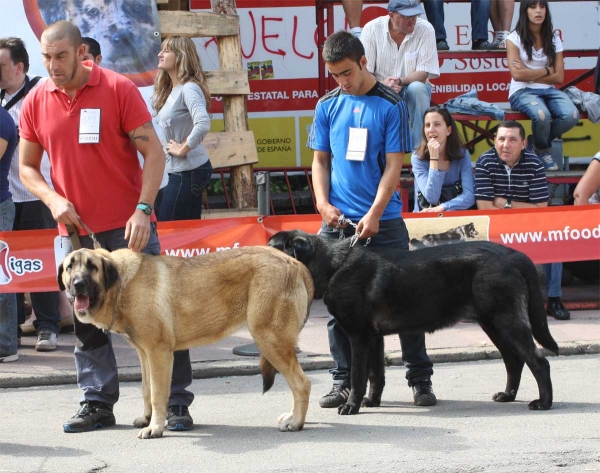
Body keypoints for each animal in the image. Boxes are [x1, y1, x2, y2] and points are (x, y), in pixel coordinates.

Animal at [57, 245, 314, 436]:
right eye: (70, 267)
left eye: (92, 267)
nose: (78, 284)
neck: (121, 285)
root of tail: (295, 264)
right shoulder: (144, 354)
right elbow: (146, 389)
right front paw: (147, 419)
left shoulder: (158, 353)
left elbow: (158, 393)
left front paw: (155, 428)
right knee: (296, 384)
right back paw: (293, 417)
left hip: (268, 338)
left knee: (301, 383)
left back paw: (296, 422)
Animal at [270, 230, 560, 414]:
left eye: (271, 247)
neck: (331, 266)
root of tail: (515, 254)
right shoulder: (373, 338)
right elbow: (376, 375)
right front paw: (372, 401)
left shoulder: (359, 336)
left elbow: (358, 375)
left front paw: (351, 406)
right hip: (493, 324)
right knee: (514, 361)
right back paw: (508, 395)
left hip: (506, 321)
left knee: (539, 362)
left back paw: (543, 402)